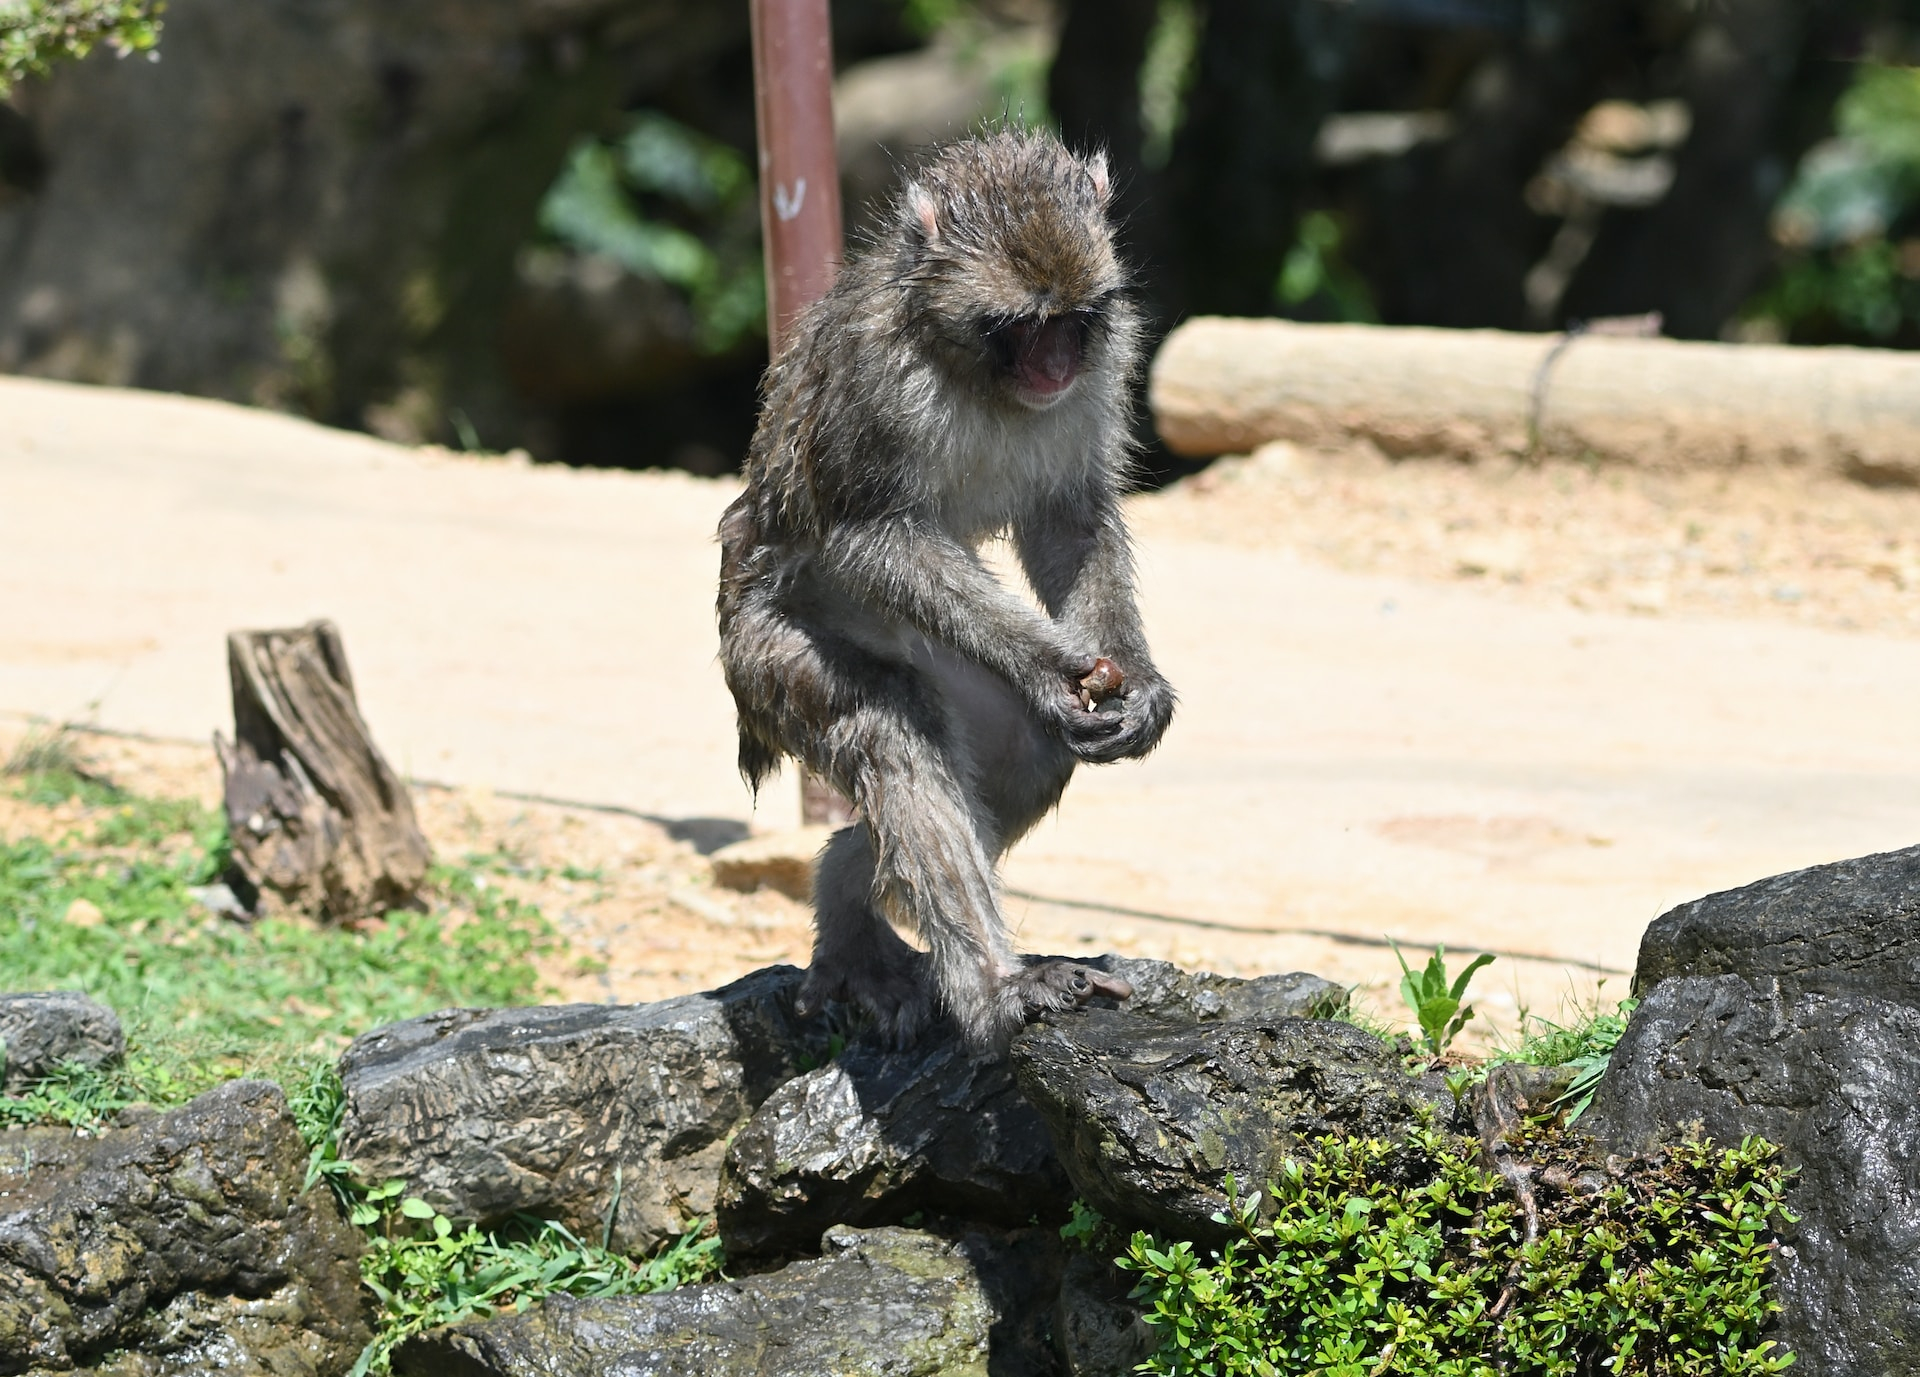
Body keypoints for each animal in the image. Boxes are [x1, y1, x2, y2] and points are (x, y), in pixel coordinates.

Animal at [718, 128, 1167, 1052]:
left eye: (1073, 322)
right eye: (1019, 325)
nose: (1056, 365)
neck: (971, 374)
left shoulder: (1108, 357)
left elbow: (1069, 516)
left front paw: (1136, 682)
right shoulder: (875, 375)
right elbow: (866, 535)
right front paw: (1047, 665)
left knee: (1026, 751)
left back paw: (847, 897)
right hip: (766, 657)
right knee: (894, 726)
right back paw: (995, 986)